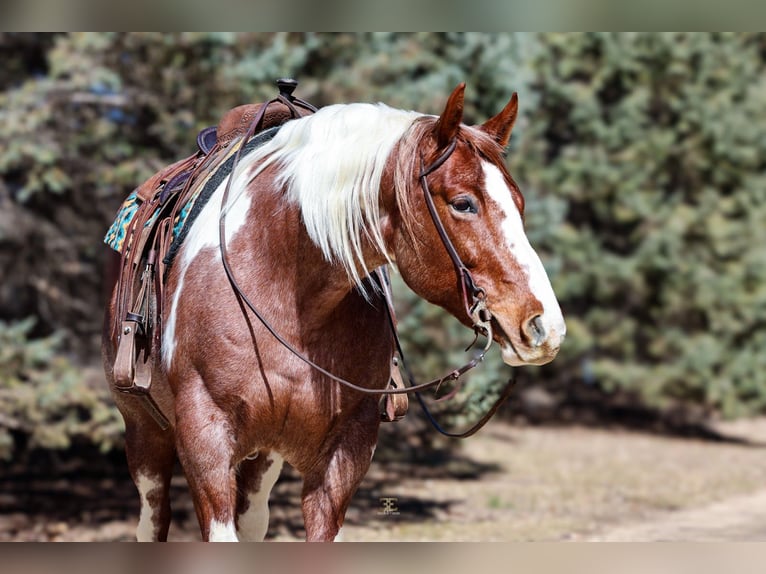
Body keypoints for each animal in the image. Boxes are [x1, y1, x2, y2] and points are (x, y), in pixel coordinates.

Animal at [102, 83, 566, 542]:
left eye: (520, 204)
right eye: (463, 203)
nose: (545, 326)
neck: (287, 292)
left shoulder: (345, 454)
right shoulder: (205, 444)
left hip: (263, 457)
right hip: (145, 434)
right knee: (153, 517)